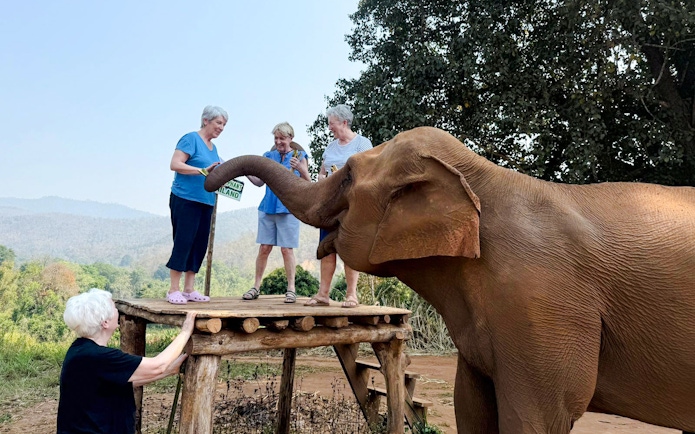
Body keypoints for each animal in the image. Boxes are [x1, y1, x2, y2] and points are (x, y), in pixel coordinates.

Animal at [205, 126, 695, 434]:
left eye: (347, 176)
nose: (209, 178)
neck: (483, 176)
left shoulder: (545, 306)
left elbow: (539, 417)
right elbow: (471, 409)